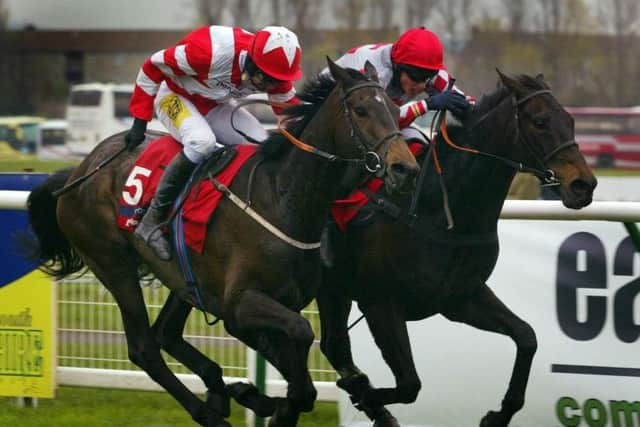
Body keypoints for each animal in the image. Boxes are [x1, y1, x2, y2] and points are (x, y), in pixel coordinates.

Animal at [23, 60, 420, 427]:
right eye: (361, 110)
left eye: (395, 108)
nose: (406, 169)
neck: (282, 199)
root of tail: (77, 172)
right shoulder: (241, 303)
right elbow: (301, 338)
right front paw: (267, 401)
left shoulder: (260, 305)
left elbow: (297, 367)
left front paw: (260, 397)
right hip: (112, 264)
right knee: (145, 348)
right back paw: (209, 411)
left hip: (184, 279)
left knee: (166, 332)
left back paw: (219, 390)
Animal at [318, 71, 596, 427]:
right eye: (540, 121)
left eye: (570, 120)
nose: (584, 185)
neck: (439, 207)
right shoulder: (379, 301)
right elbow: (409, 384)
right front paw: (364, 395)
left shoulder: (460, 297)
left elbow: (527, 337)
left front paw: (499, 414)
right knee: (334, 344)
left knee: (334, 344)